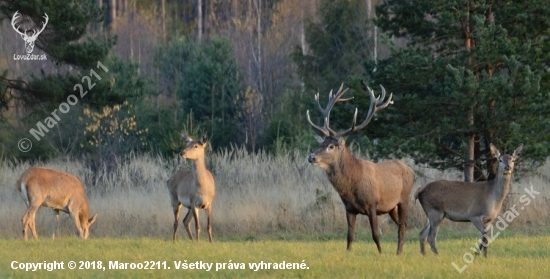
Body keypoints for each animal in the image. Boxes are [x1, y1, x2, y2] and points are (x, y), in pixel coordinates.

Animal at [306, 83, 418, 256]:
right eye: (321, 144)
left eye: (331, 146)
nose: (311, 157)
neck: (352, 185)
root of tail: (412, 172)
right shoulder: (349, 208)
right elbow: (350, 235)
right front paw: (348, 254)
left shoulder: (372, 203)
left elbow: (375, 233)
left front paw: (381, 253)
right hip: (391, 207)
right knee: (403, 224)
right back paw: (399, 251)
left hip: (405, 198)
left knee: (402, 226)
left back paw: (398, 253)